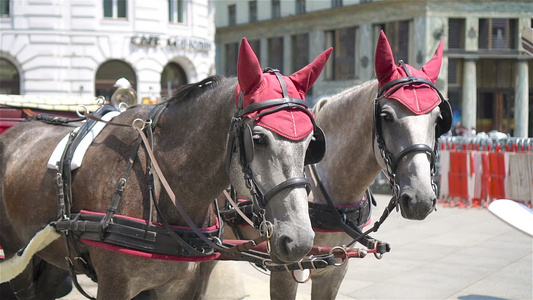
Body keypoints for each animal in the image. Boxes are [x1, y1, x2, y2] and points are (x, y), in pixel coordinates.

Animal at [0, 38, 332, 298]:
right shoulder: (115, 285)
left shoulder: (179, 285)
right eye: (258, 139)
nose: (299, 240)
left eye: (311, 143)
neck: (161, 186)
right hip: (16, 254)